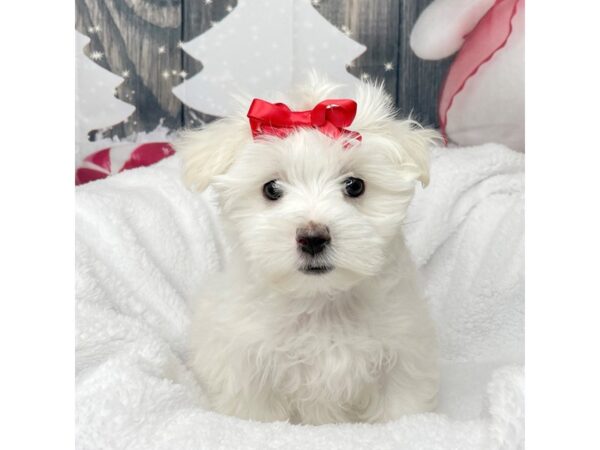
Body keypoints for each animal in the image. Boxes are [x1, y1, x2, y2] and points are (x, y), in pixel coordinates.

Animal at [176, 75, 438, 424]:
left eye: (354, 185)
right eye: (271, 189)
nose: (313, 237)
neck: (320, 301)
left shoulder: (401, 354)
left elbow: (400, 409)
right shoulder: (248, 367)